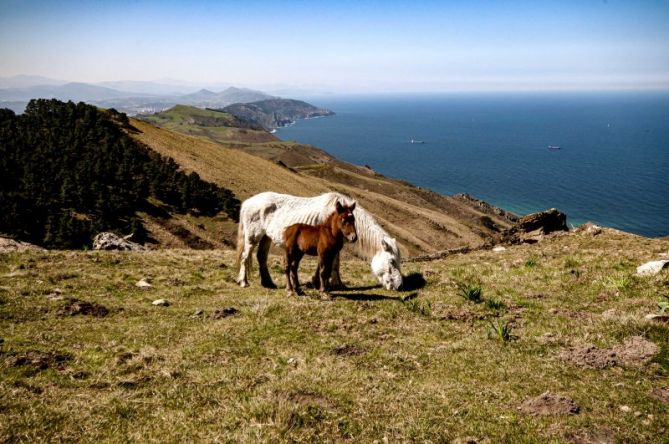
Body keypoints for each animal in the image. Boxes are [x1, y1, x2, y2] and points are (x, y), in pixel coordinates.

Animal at [235, 192, 402, 292]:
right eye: (392, 261)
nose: (399, 286)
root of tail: (248, 202)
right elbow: (330, 264)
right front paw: (328, 283)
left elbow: (334, 263)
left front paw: (329, 283)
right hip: (252, 237)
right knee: (244, 257)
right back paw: (243, 282)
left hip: (266, 237)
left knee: (261, 257)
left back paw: (268, 283)